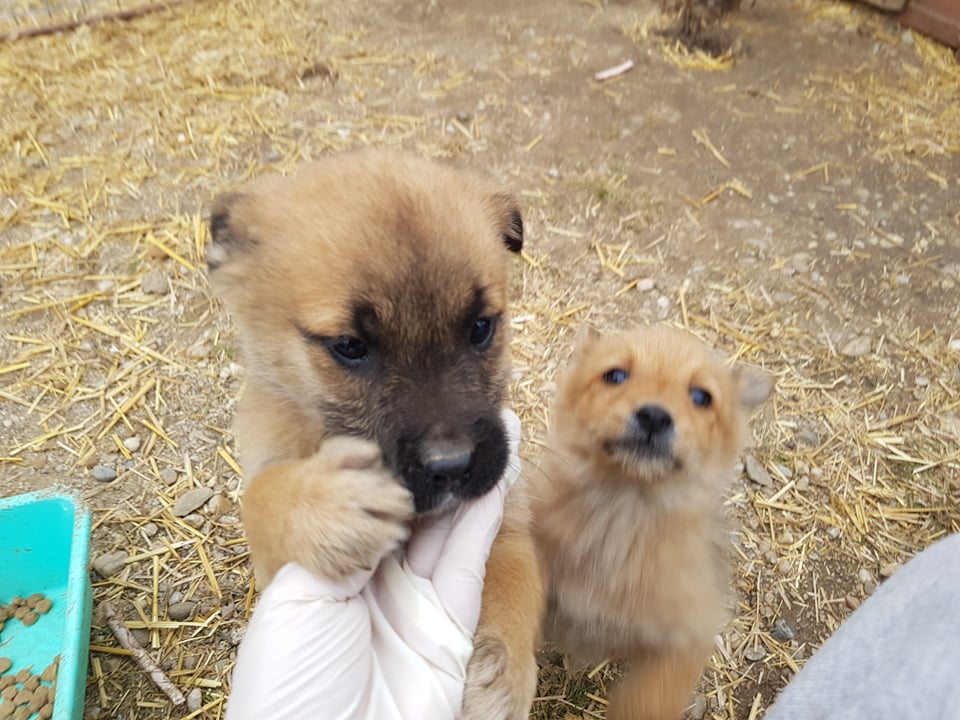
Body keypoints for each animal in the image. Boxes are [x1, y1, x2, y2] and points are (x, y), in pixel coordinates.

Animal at [207, 149, 544, 716]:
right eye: (349, 346)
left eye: (481, 327)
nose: (451, 466)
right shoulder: (270, 557)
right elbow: (262, 497)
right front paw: (325, 505)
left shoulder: (511, 515)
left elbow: (518, 577)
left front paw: (503, 674)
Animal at [532, 326, 772, 720]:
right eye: (615, 376)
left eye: (701, 397)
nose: (655, 417)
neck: (622, 515)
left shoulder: (686, 636)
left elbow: (647, 699)